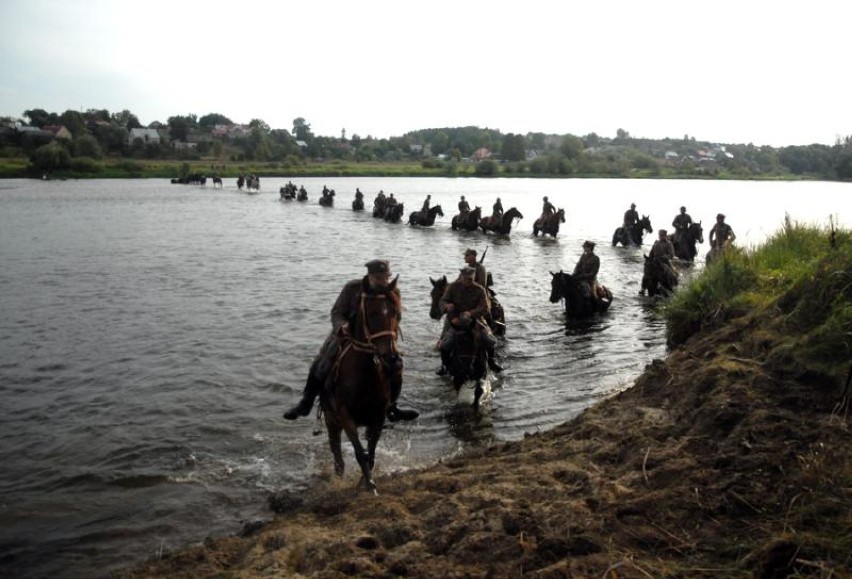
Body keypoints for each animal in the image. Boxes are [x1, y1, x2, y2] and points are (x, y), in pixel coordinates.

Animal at [320, 276, 402, 494]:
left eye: (395, 313)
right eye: (372, 313)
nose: (392, 359)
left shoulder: (378, 417)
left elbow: (371, 453)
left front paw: (366, 482)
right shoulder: (345, 417)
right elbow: (359, 452)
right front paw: (370, 485)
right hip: (331, 421)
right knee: (337, 456)